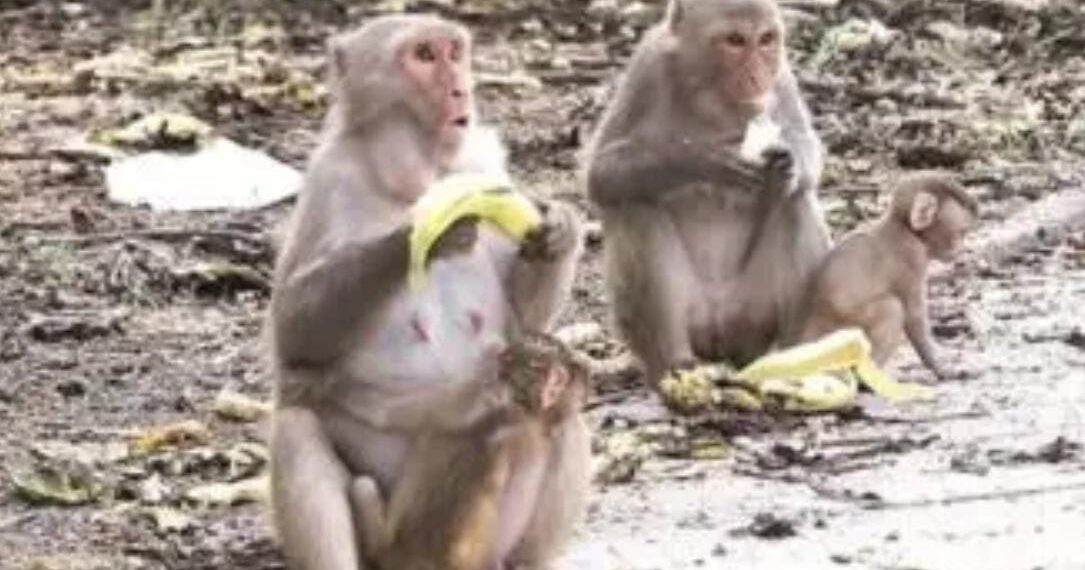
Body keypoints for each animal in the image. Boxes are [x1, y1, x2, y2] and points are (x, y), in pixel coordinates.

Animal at [349, 333, 590, 570]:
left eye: (511, 358)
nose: (500, 352)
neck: (532, 416)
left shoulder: (484, 401)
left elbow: (408, 415)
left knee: (363, 486)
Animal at [582, 0, 831, 387]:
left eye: (766, 39)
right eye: (735, 41)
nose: (758, 76)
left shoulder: (782, 74)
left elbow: (802, 144)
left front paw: (786, 166)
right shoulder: (648, 67)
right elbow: (602, 174)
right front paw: (707, 160)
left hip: (752, 314)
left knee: (796, 203)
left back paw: (794, 356)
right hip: (686, 318)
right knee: (634, 204)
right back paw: (675, 363)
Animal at [798, 171, 979, 379]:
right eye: (961, 232)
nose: (961, 248)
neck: (906, 229)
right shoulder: (912, 258)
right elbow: (913, 315)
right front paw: (941, 367)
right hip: (841, 331)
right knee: (891, 308)